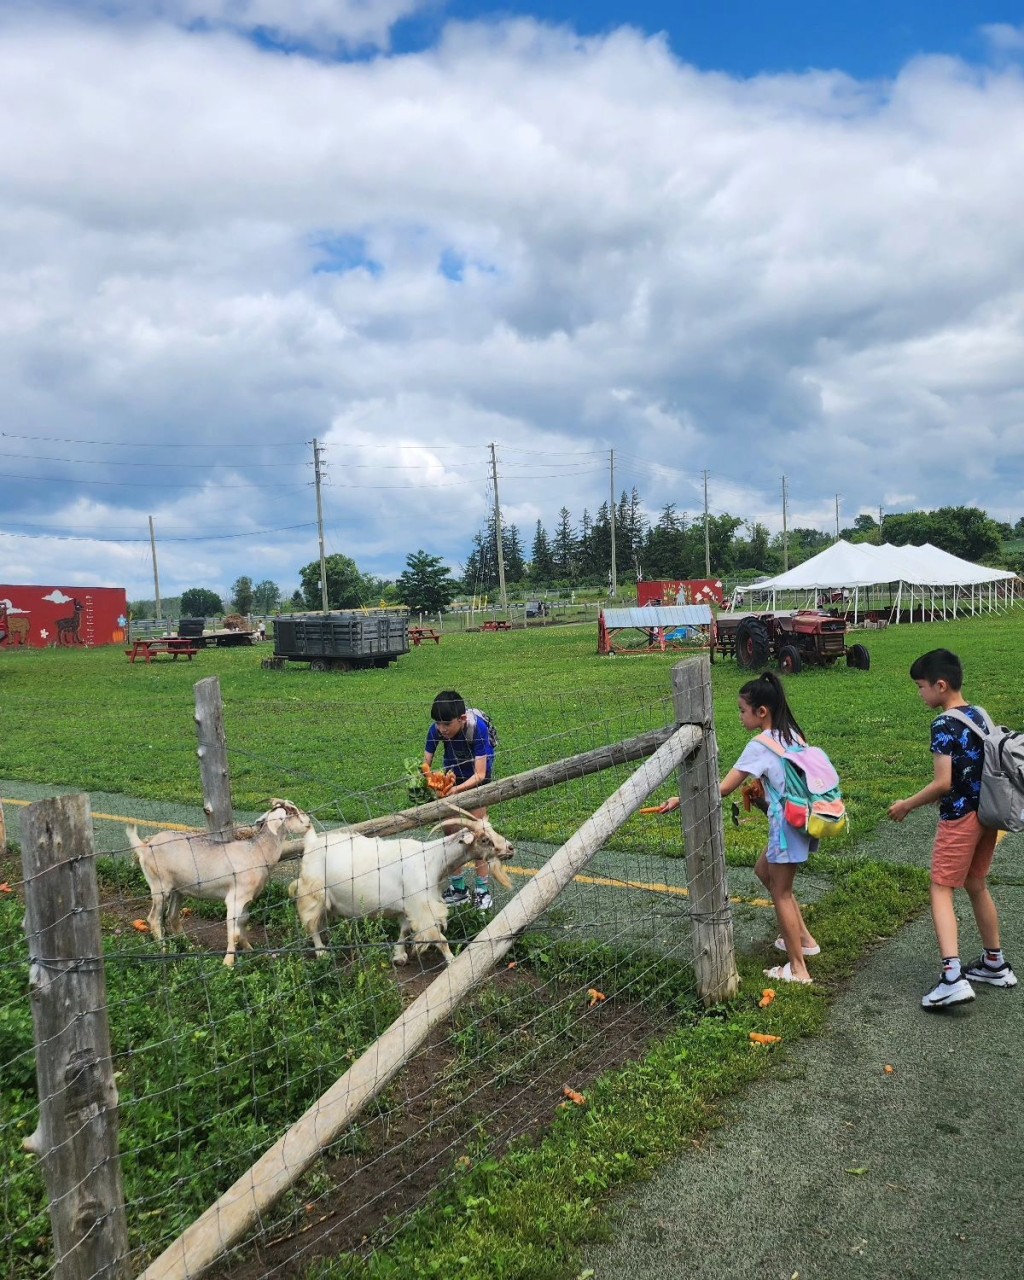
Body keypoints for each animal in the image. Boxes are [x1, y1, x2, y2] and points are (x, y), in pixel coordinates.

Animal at [125, 793, 308, 962]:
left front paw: (250, 950)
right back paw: (164, 950)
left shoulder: (246, 900)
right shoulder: (235, 898)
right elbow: (234, 933)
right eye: (292, 810)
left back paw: (189, 947)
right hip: (159, 885)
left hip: (178, 889)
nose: (308, 822)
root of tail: (145, 846)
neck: (256, 851)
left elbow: (243, 924)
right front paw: (228, 963)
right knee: (154, 918)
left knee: (173, 917)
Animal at [288, 814, 517, 962]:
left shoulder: (409, 907)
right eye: (484, 839)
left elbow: (404, 931)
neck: (432, 859)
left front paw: (399, 956)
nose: (510, 848)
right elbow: (439, 938)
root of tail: (311, 842)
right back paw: (321, 952)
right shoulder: (422, 907)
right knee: (311, 924)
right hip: (313, 894)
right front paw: (452, 961)